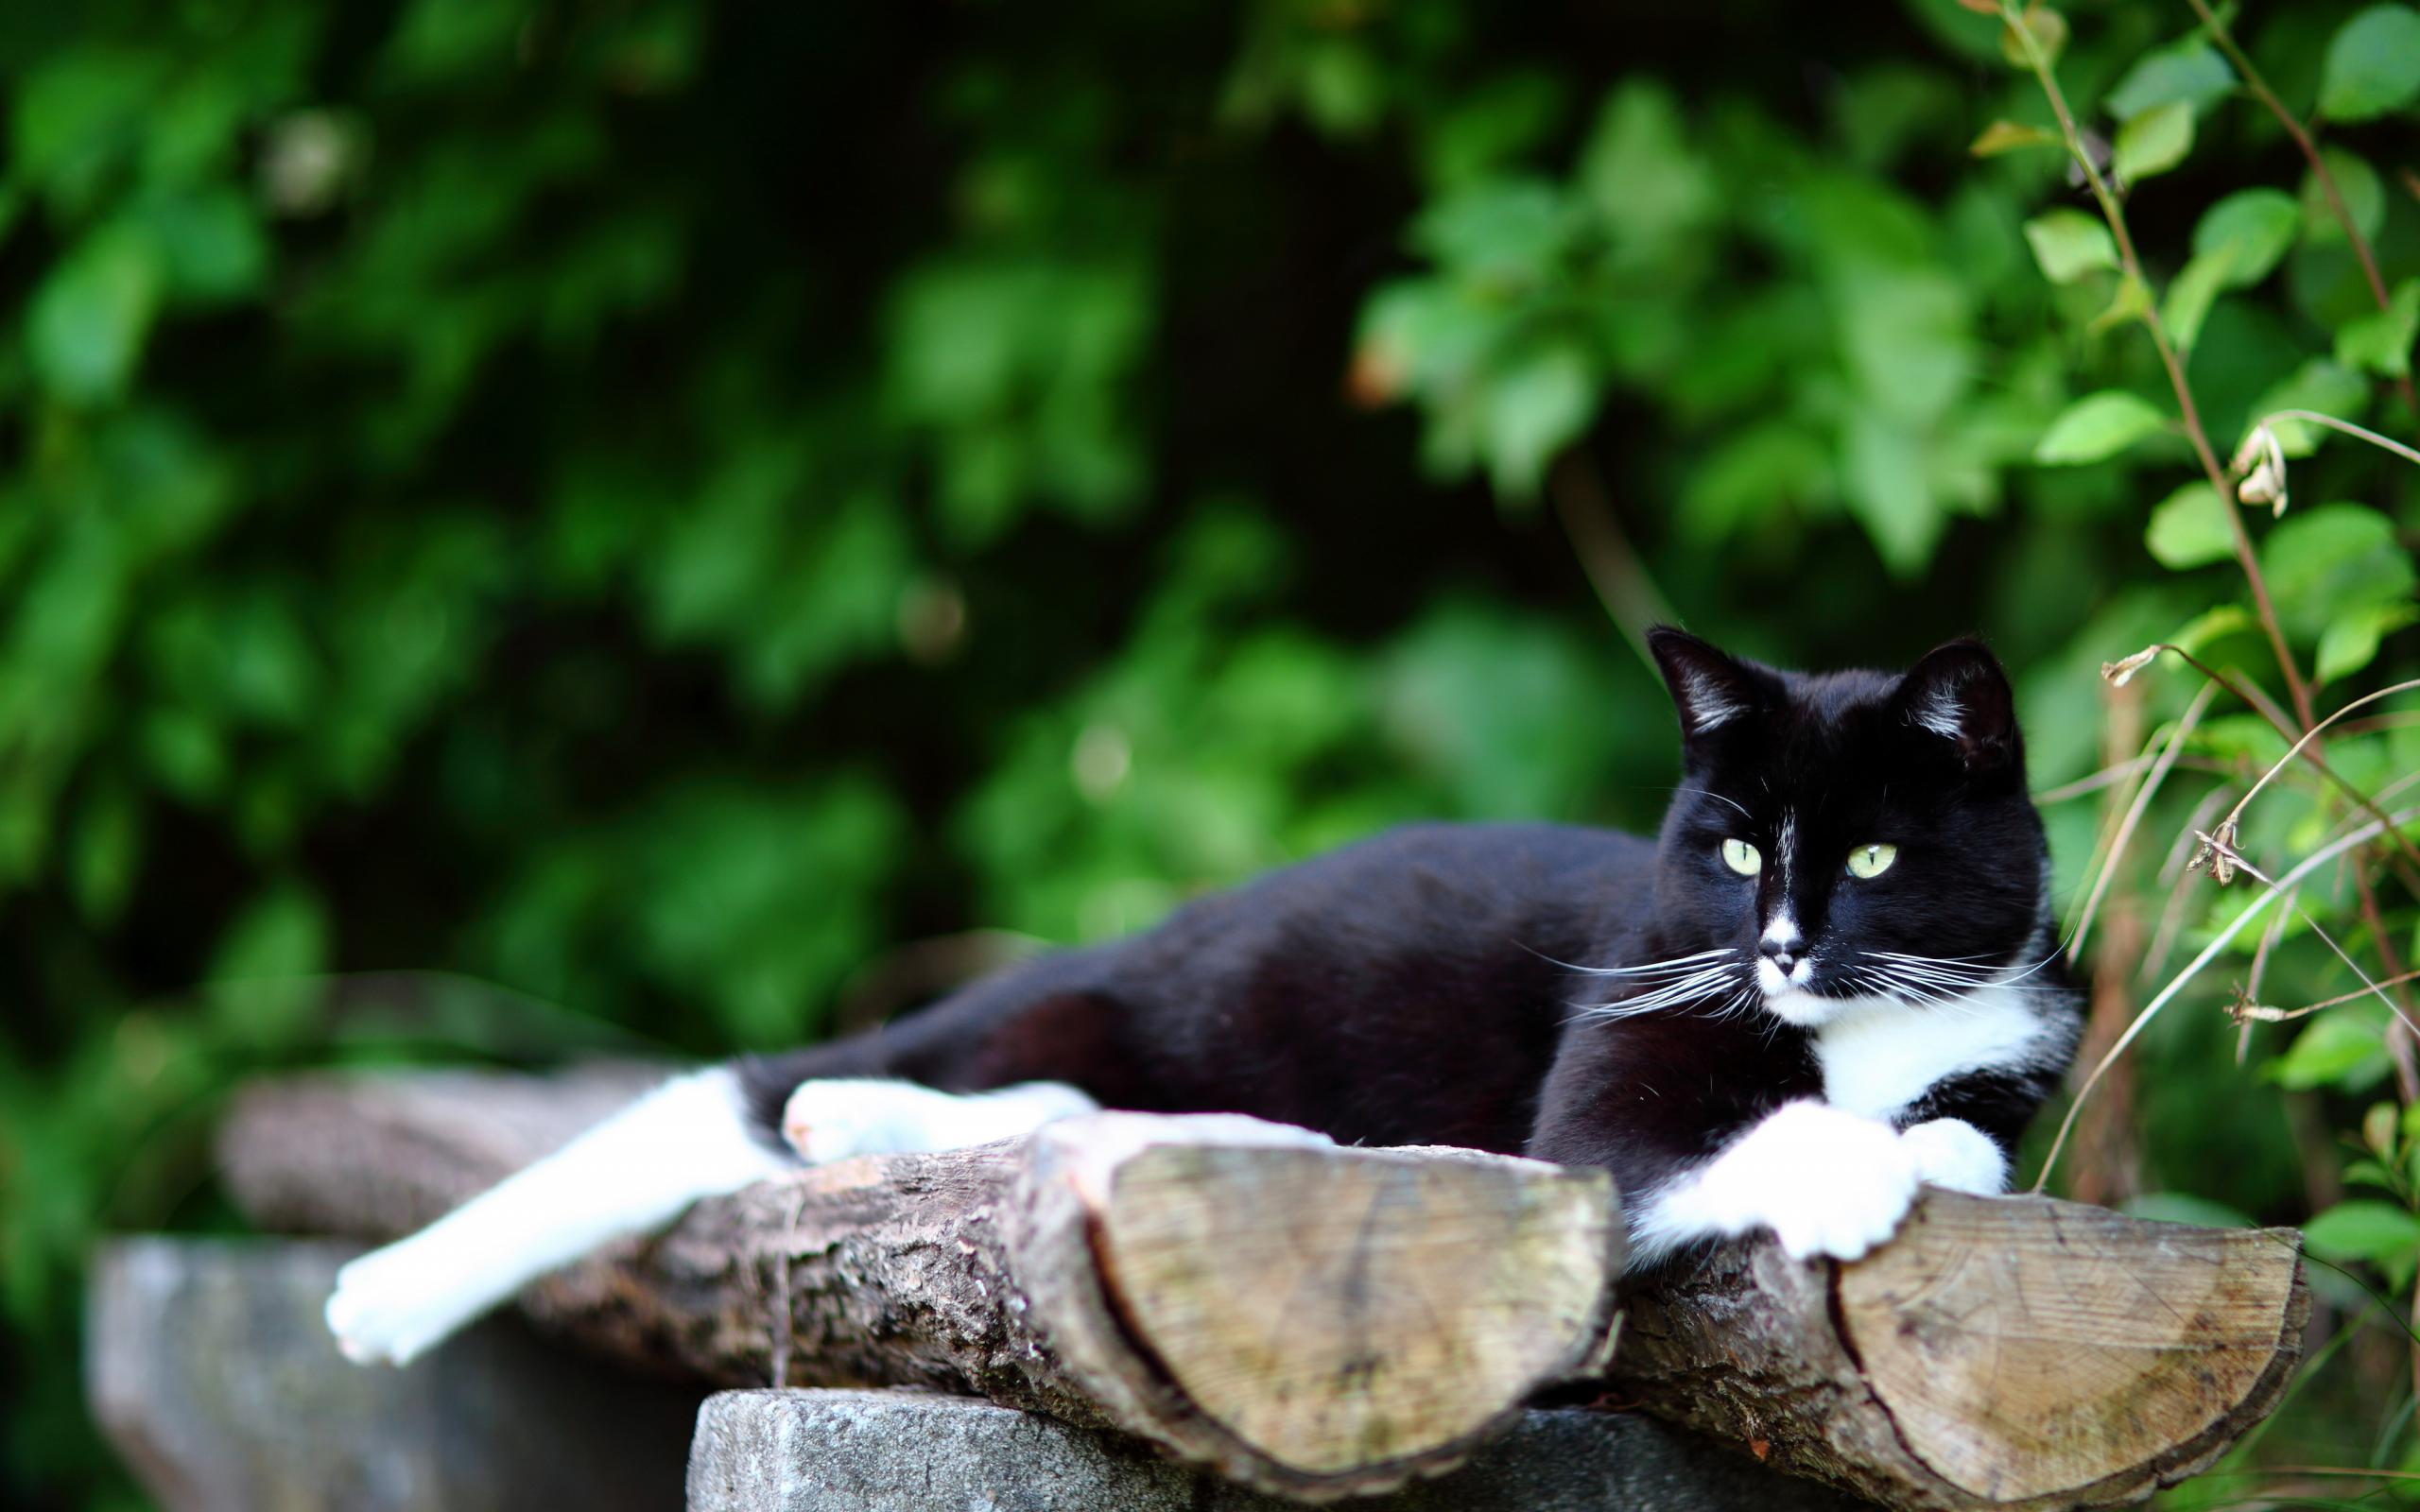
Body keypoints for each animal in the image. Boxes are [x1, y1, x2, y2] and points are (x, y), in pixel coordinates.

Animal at [321, 628, 2081, 1364]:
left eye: (1868, 852)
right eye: (1729, 850)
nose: (1775, 947)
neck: (1857, 1026)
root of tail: (1135, 941)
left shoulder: (2012, 1043)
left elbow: (1975, 1135)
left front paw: (1924, 1148)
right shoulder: (1615, 1051)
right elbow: (1664, 1138)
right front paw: (1850, 1171)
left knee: (1058, 1094)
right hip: (1137, 1001)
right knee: (963, 1075)